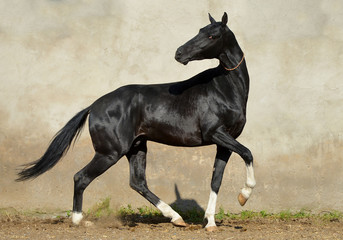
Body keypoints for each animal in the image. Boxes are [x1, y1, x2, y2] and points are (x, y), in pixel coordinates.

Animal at [18, 12, 255, 232]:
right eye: (200, 30)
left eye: (212, 35)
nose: (179, 53)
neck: (223, 89)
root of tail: (94, 106)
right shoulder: (215, 133)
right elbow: (247, 153)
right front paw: (243, 196)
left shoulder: (224, 142)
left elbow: (216, 180)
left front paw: (210, 223)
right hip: (110, 153)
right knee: (81, 177)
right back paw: (79, 220)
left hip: (137, 147)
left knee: (137, 182)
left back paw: (176, 218)